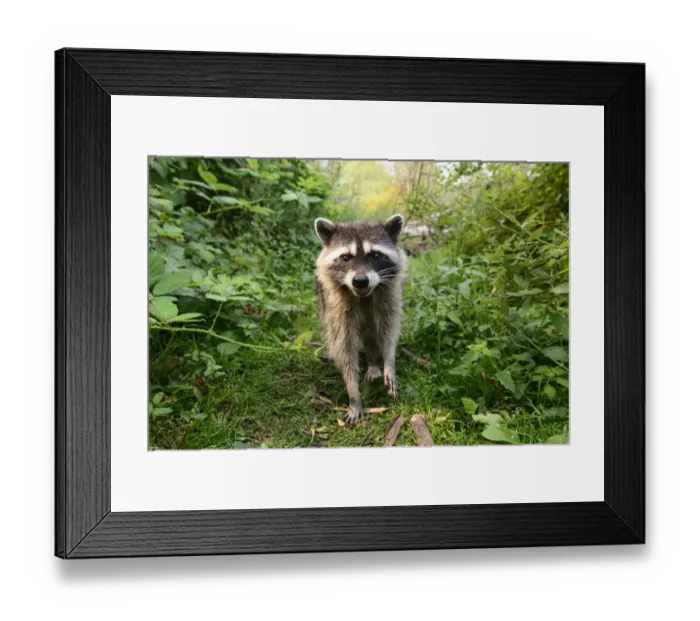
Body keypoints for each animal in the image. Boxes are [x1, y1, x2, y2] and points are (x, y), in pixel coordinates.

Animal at [314, 215, 407, 425]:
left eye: (375, 255)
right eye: (345, 257)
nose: (360, 281)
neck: (364, 294)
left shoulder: (389, 294)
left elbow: (388, 332)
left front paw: (389, 362)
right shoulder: (337, 305)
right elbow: (344, 347)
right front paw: (353, 393)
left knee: (372, 331)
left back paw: (373, 364)